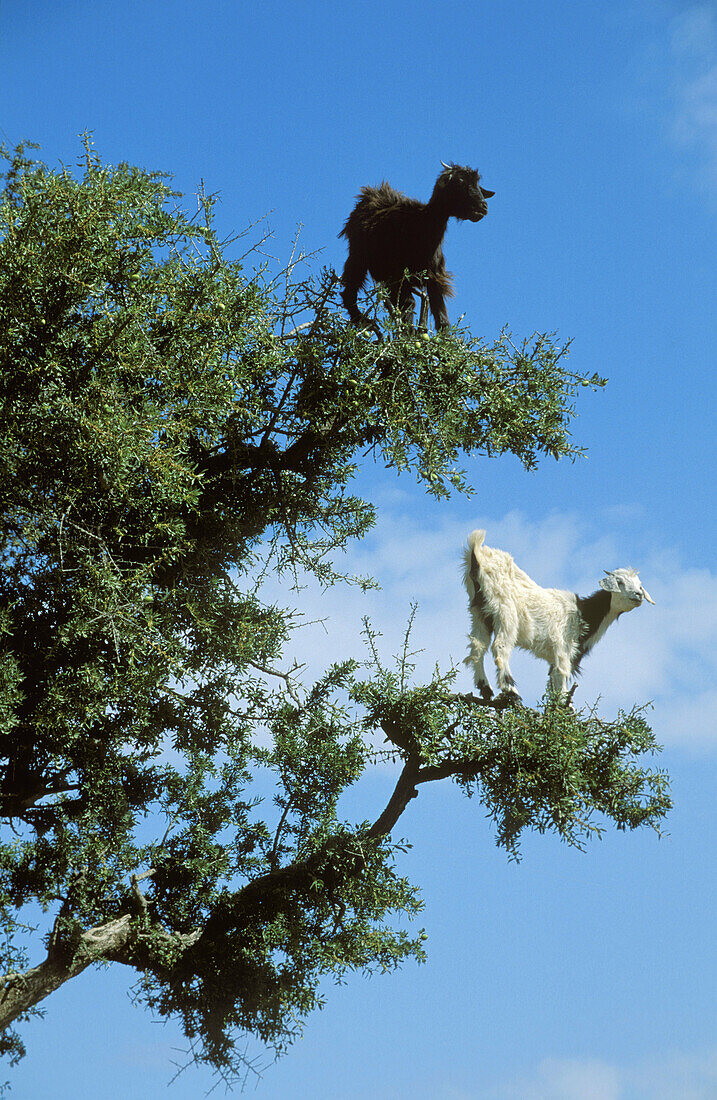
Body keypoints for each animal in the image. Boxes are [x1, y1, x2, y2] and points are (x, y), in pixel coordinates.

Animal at [336, 159, 492, 330]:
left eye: (477, 185)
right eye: (460, 182)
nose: (483, 207)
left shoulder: (434, 276)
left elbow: (441, 316)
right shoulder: (397, 273)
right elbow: (409, 303)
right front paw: (409, 332)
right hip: (358, 255)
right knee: (350, 290)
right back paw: (365, 321)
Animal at [464, 528, 655, 699]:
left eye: (640, 585)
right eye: (619, 582)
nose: (638, 595)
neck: (583, 613)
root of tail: (477, 557)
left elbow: (553, 684)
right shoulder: (563, 650)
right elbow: (562, 681)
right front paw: (567, 709)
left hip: (479, 613)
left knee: (478, 646)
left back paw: (485, 689)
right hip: (505, 612)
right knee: (500, 647)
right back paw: (511, 692)